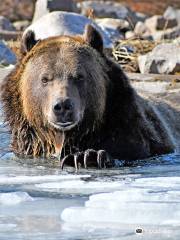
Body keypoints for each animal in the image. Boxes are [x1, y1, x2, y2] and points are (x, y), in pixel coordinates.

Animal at [1, 23, 179, 167]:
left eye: (79, 76)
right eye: (45, 79)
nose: (63, 106)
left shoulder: (131, 129)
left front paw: (87, 156)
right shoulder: (28, 144)